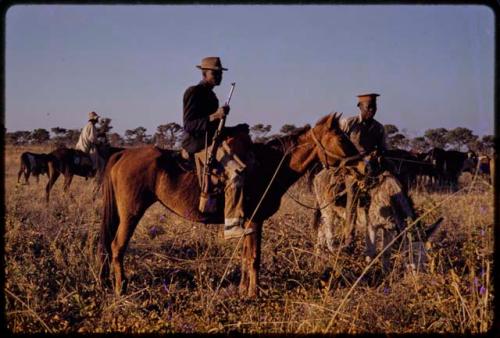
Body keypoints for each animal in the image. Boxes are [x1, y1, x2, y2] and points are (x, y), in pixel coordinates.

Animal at [99, 112, 362, 298]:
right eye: (341, 138)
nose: (363, 163)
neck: (269, 165)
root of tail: (122, 154)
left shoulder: (248, 222)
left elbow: (246, 256)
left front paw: (244, 290)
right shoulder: (255, 221)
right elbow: (254, 257)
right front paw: (254, 293)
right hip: (131, 214)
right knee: (117, 246)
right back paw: (121, 288)